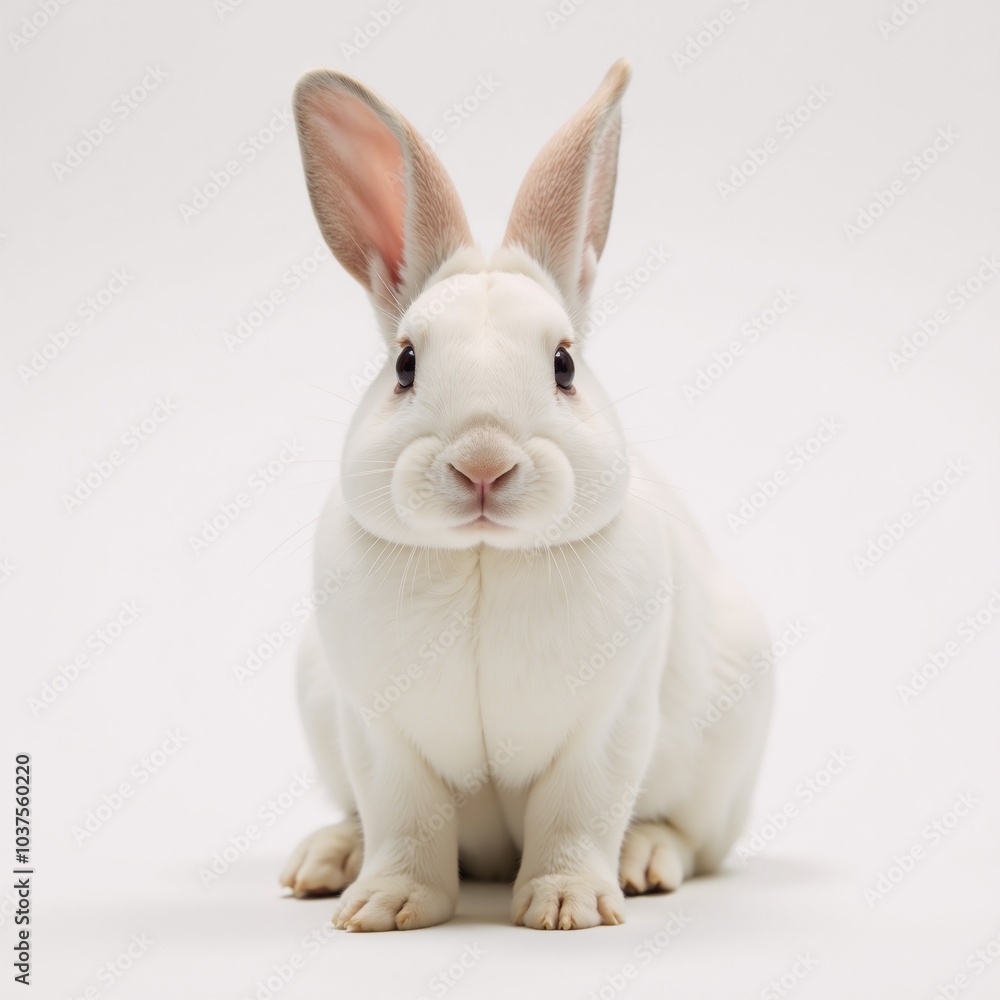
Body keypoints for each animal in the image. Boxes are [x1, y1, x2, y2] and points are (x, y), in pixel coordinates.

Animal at [279, 58, 773, 931]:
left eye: (564, 365)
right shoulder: (381, 733)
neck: (483, 557)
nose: (484, 464)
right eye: (405, 363)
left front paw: (569, 905)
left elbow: (577, 816)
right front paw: (385, 907)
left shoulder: (604, 728)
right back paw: (325, 860)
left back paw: (645, 862)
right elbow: (402, 823)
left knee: (688, 835)